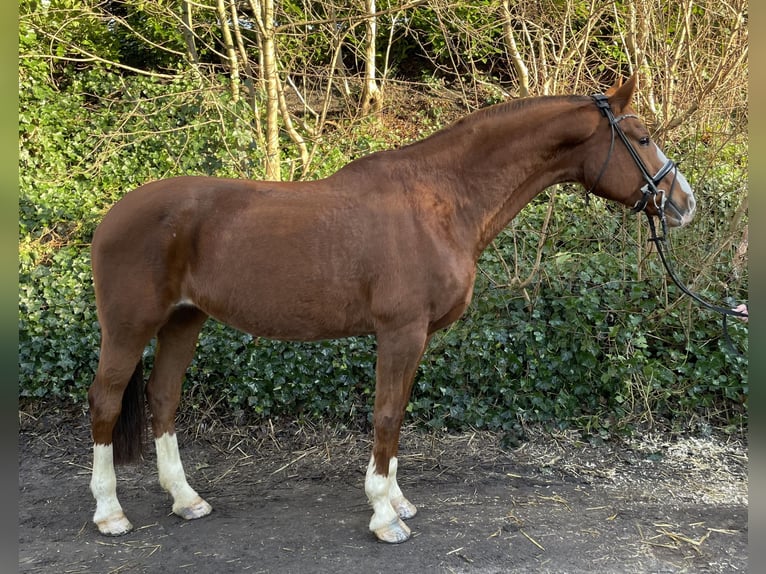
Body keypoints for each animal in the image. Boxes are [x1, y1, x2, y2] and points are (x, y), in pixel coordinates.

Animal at [88, 75, 696, 544]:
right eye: (642, 137)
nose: (684, 203)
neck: (440, 200)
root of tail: (112, 214)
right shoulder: (400, 332)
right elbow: (385, 414)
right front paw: (384, 516)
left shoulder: (418, 335)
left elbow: (399, 414)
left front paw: (397, 501)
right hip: (129, 327)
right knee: (106, 401)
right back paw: (110, 512)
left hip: (183, 321)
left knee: (164, 398)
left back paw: (186, 499)